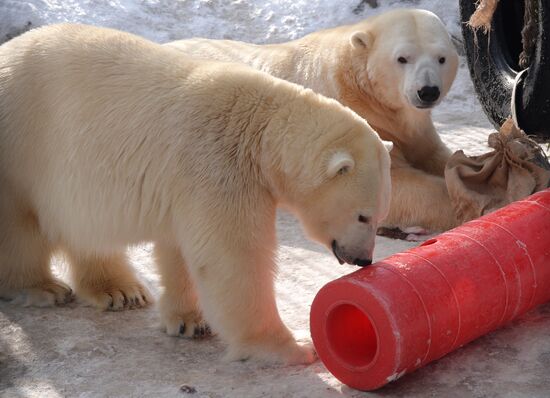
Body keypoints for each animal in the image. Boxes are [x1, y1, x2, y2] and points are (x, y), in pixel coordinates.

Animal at [0, 22, 394, 364]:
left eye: (379, 216)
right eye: (363, 215)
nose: (364, 260)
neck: (258, 128)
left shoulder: (189, 182)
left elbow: (181, 247)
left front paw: (190, 321)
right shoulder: (218, 163)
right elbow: (234, 257)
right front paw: (292, 347)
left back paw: (120, 291)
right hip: (23, 145)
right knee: (18, 225)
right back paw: (42, 288)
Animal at [168, 7, 462, 232]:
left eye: (442, 58)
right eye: (402, 58)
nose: (427, 91)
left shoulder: (413, 129)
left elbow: (435, 153)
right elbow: (393, 183)